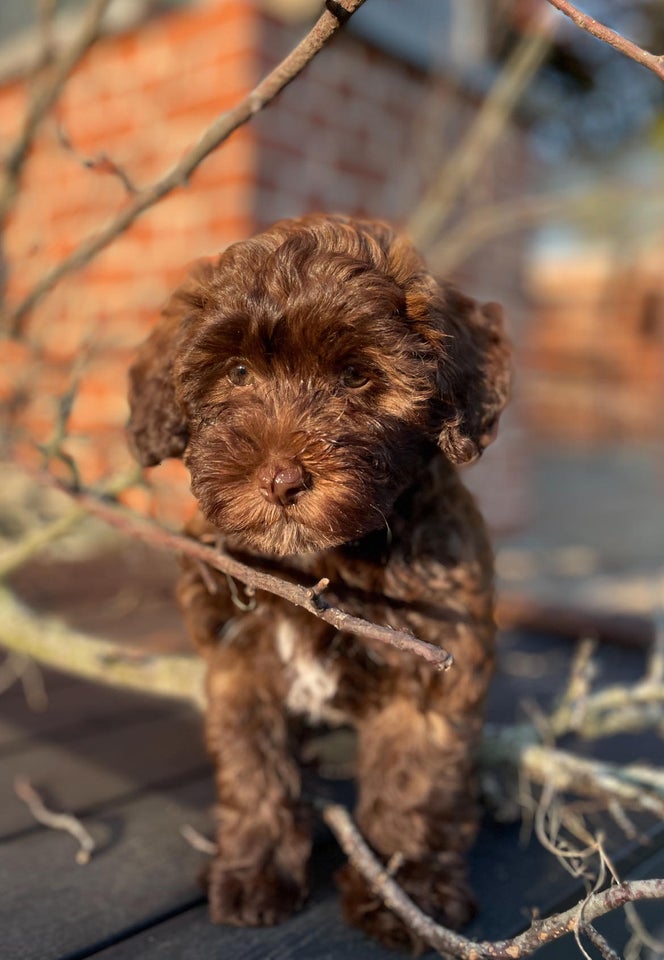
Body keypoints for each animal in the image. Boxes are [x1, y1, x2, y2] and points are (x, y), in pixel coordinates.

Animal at [128, 212, 508, 952]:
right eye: (238, 371)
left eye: (357, 377)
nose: (280, 480)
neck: (315, 565)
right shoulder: (239, 663)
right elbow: (254, 769)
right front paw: (252, 872)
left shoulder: (434, 669)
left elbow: (418, 779)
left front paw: (405, 894)